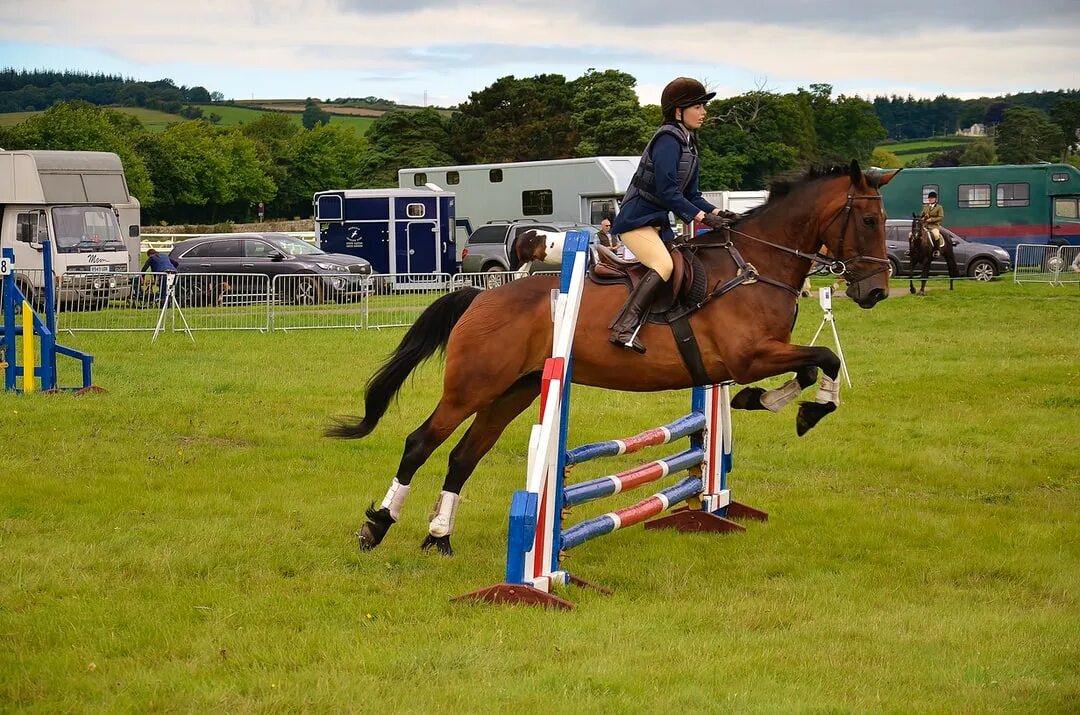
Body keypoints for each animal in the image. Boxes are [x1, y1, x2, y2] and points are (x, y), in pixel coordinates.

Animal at [332, 160, 898, 552]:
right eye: (870, 219)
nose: (875, 292)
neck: (756, 265)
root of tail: (481, 296)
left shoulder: (758, 358)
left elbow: (815, 362)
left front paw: (773, 403)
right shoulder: (749, 358)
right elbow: (823, 357)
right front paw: (798, 409)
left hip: (513, 391)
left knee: (464, 455)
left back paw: (439, 536)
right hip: (473, 386)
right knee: (421, 442)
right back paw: (377, 526)